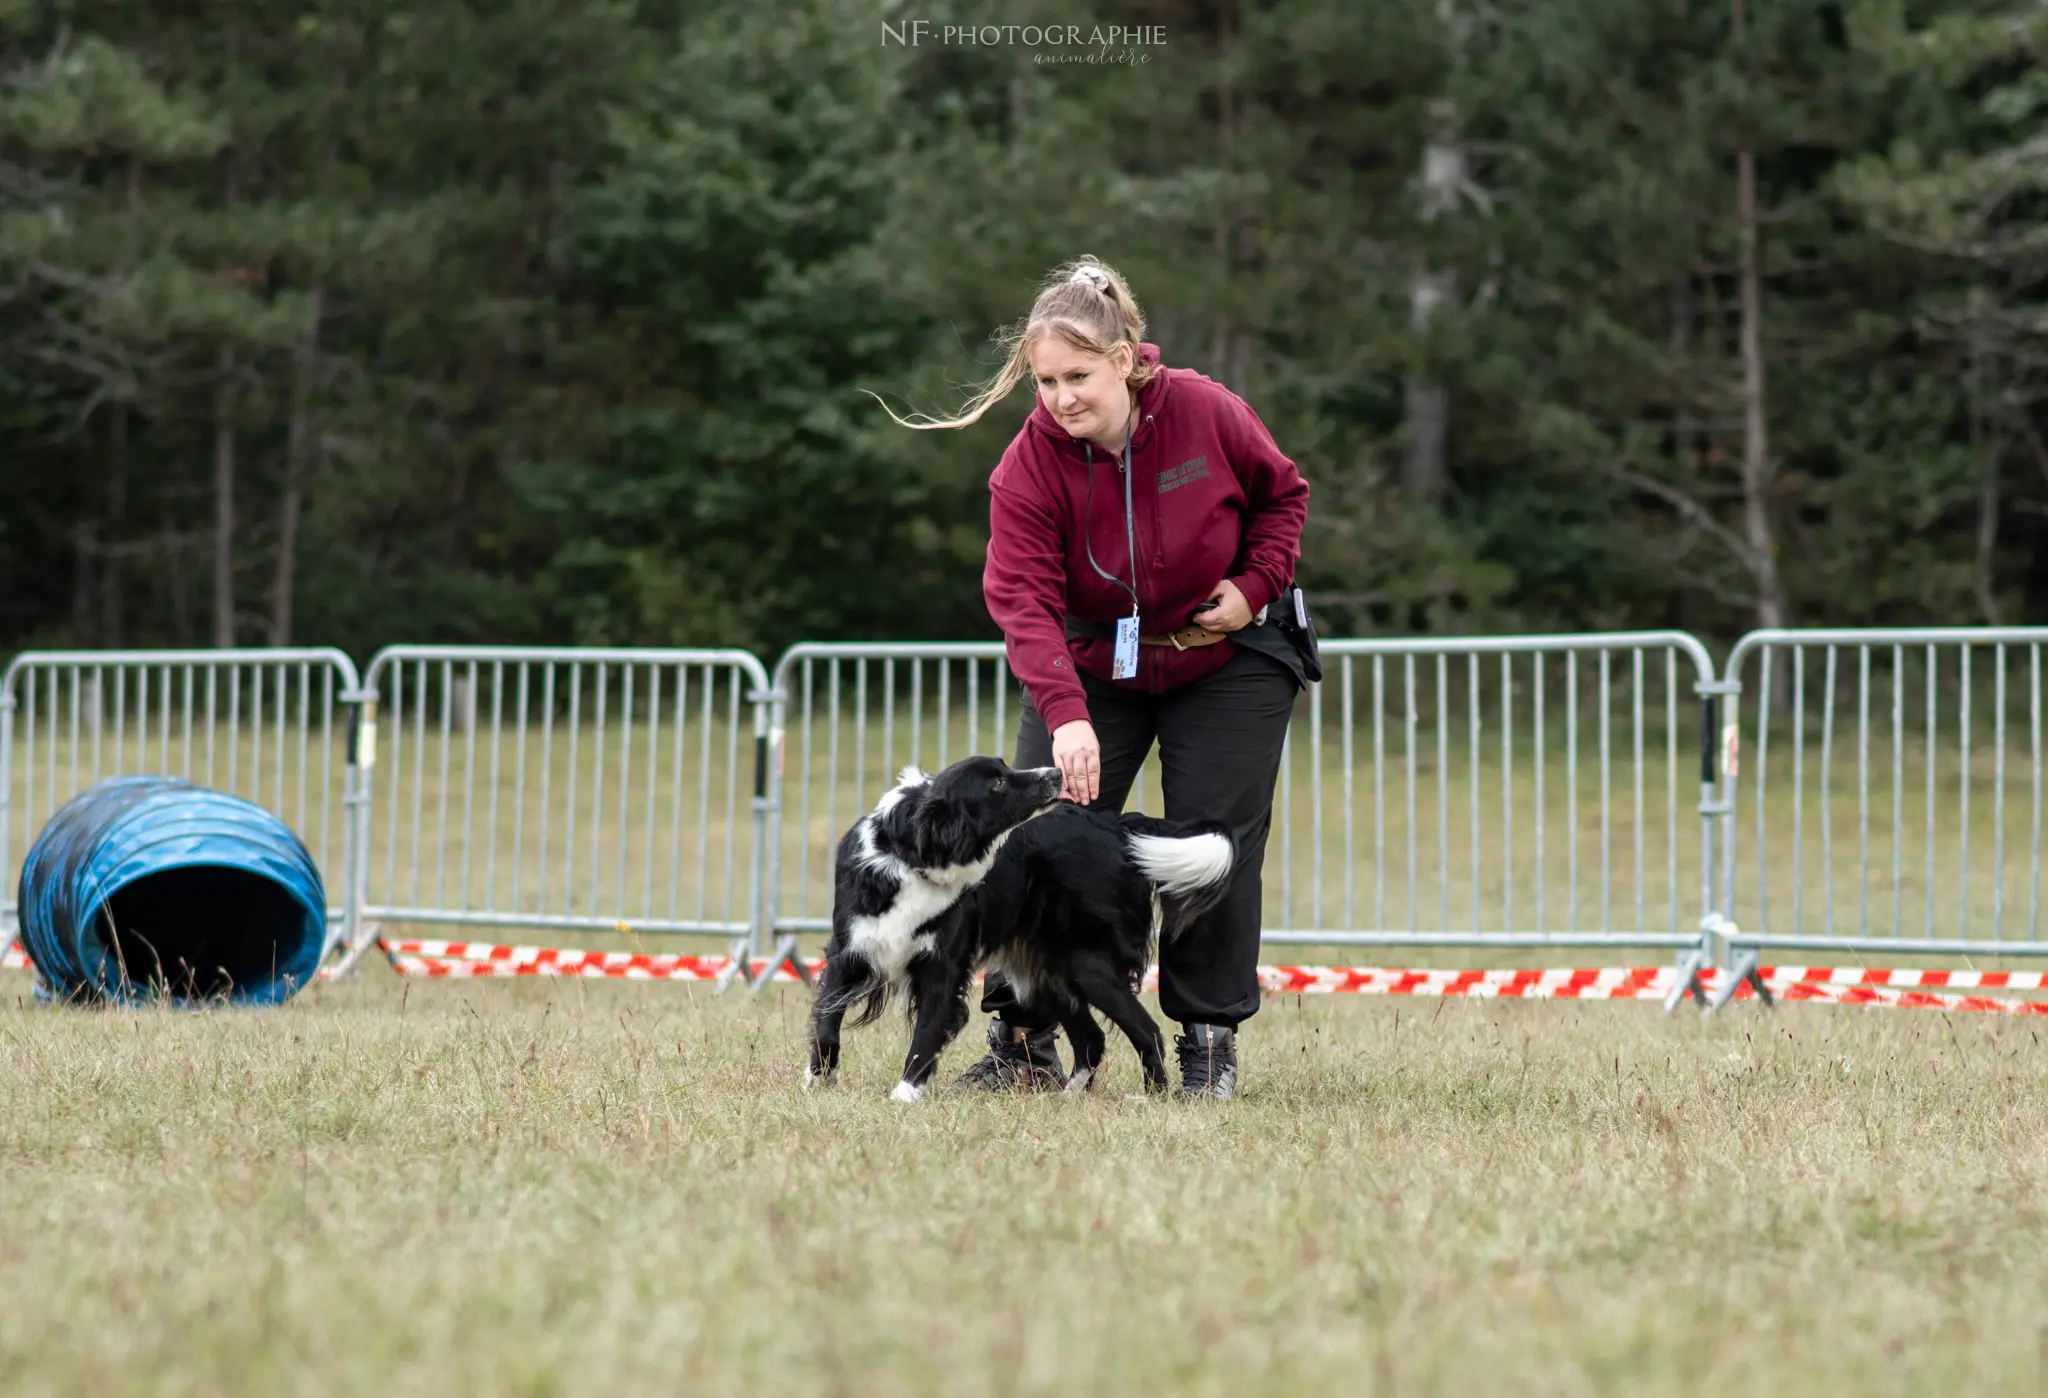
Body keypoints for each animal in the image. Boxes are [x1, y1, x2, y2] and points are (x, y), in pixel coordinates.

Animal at [806, 761, 1236, 1097]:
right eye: (997, 782)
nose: (1057, 772)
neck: (910, 857)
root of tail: (1114, 825)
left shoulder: (944, 968)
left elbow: (926, 1034)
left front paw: (904, 1096)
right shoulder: (848, 951)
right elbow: (826, 1022)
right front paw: (817, 1082)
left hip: (1087, 963)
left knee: (1147, 1031)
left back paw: (1153, 1099)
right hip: (1052, 969)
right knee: (1092, 1039)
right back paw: (1068, 1097)